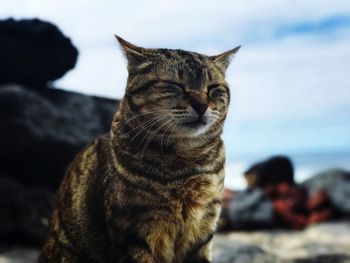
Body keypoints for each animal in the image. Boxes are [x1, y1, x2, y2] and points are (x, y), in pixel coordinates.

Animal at [39, 35, 241, 263]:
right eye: (174, 85)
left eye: (213, 88)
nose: (201, 106)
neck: (185, 161)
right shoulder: (135, 233)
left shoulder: (204, 228)